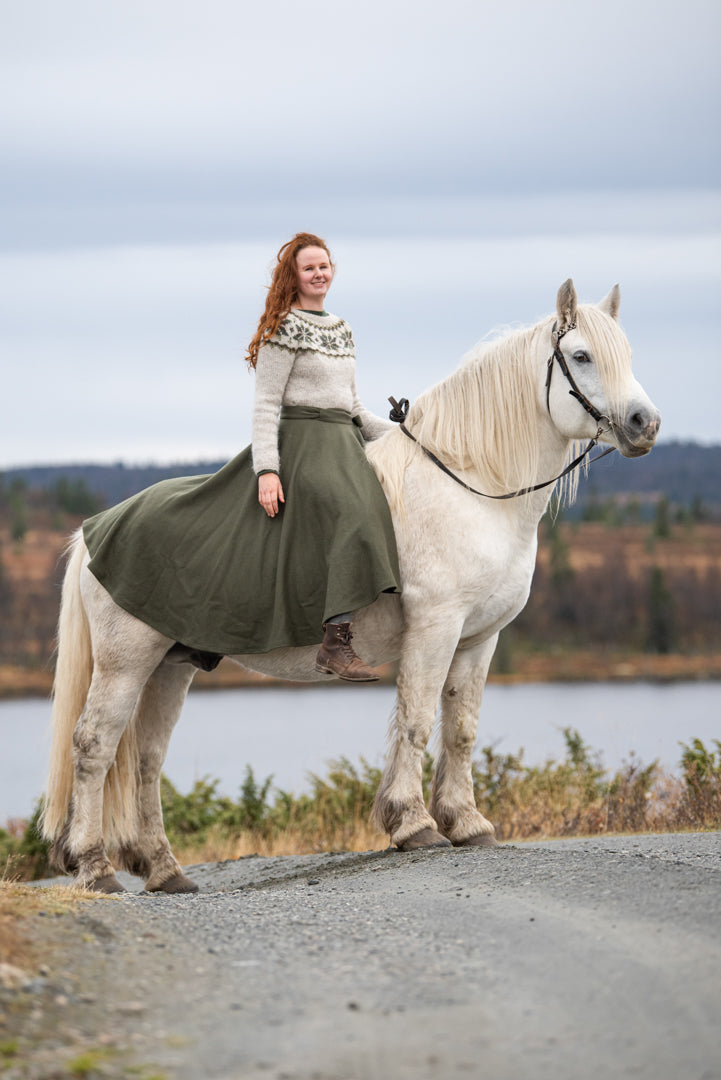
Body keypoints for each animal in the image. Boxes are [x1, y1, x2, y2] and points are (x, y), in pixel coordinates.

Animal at [39, 280, 660, 894]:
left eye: (628, 354)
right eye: (581, 355)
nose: (644, 424)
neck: (471, 486)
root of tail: (97, 531)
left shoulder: (480, 639)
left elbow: (461, 728)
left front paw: (467, 822)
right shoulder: (435, 628)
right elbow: (416, 719)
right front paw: (414, 823)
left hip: (171, 666)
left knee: (146, 758)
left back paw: (164, 869)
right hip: (125, 663)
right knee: (93, 746)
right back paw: (95, 866)